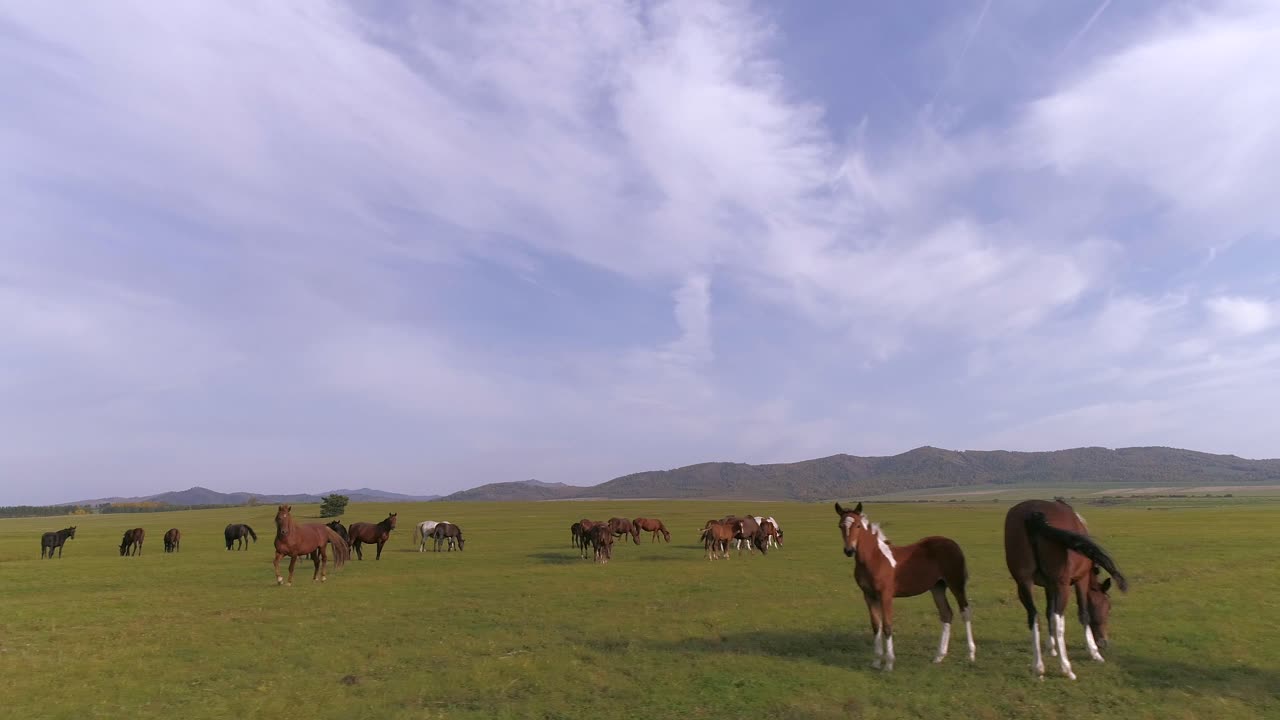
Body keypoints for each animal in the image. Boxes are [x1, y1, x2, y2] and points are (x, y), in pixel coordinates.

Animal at [835, 502, 976, 671]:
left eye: (857, 525)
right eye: (840, 526)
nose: (849, 550)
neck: (875, 559)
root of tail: (953, 543)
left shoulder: (886, 595)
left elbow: (887, 626)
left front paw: (889, 663)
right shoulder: (868, 596)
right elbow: (876, 626)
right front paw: (876, 661)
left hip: (956, 584)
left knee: (965, 611)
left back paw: (971, 655)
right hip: (937, 587)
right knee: (946, 614)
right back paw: (939, 656)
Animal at [1004, 498, 1129, 680]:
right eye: (1108, 607)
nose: (1103, 642)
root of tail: (1033, 513)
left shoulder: (1049, 585)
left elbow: (1048, 611)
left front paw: (1051, 647)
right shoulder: (1080, 581)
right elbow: (1083, 614)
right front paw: (1094, 652)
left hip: (1023, 583)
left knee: (1034, 616)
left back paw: (1038, 667)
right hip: (1062, 586)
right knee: (1058, 619)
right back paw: (1066, 668)